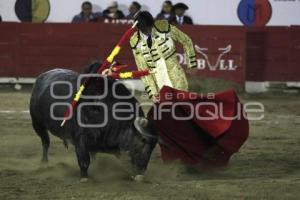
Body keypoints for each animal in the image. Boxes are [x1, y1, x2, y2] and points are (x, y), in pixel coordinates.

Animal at [29, 65, 158, 180]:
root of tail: (43, 75)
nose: (140, 174)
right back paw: (44, 164)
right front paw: (84, 178)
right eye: (142, 141)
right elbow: (84, 161)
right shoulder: (80, 138)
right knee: (45, 143)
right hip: (37, 123)